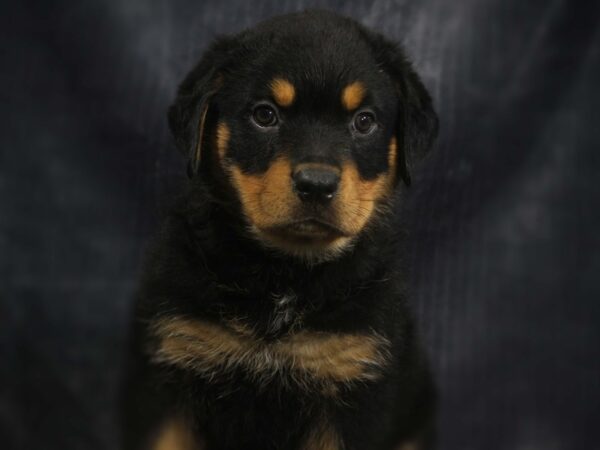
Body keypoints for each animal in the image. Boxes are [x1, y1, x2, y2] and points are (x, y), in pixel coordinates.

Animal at [122, 7, 438, 450]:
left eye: (364, 121)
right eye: (265, 114)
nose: (316, 184)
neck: (284, 277)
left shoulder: (349, 381)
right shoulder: (172, 374)